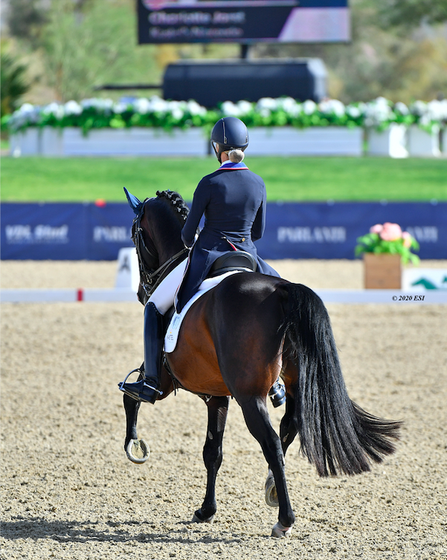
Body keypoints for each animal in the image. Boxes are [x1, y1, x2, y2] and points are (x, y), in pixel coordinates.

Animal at [122, 189, 402, 540]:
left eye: (135, 234)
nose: (141, 291)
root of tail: (282, 291)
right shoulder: (217, 395)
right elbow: (212, 452)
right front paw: (206, 510)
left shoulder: (164, 380)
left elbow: (132, 396)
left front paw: (133, 444)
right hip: (290, 383)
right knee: (289, 426)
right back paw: (271, 489)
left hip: (249, 395)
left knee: (271, 443)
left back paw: (284, 519)